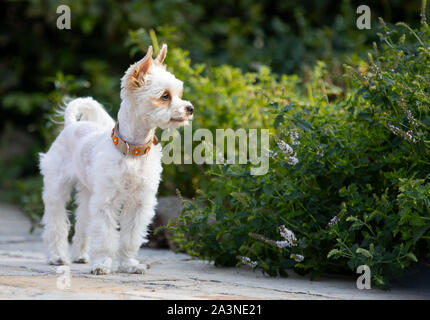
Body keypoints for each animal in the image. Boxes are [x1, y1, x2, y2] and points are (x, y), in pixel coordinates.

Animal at [39, 45, 194, 276]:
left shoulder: (139, 203)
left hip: (88, 193)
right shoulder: (106, 202)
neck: (133, 151)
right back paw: (57, 257)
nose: (190, 108)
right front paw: (102, 264)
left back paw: (80, 255)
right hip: (57, 190)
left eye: (179, 95)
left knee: (83, 221)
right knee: (56, 222)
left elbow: (130, 238)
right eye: (165, 96)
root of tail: (71, 125)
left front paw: (129, 264)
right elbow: (104, 236)